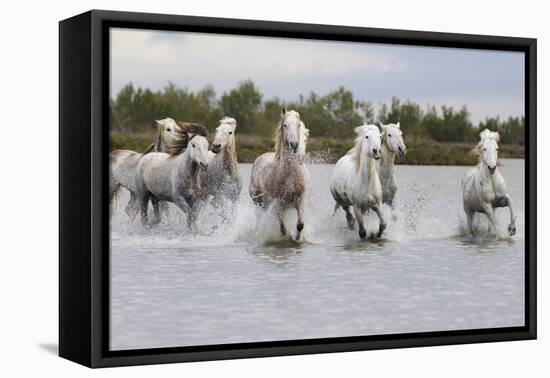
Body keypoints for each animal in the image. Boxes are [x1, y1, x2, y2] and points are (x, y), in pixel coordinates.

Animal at [250, 108, 310, 241]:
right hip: (259, 204)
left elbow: (300, 224)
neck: (289, 176)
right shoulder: (278, 203)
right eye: (285, 125)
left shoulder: (300, 200)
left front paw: (297, 237)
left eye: (298, 125)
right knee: (260, 220)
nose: (294, 145)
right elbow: (282, 228)